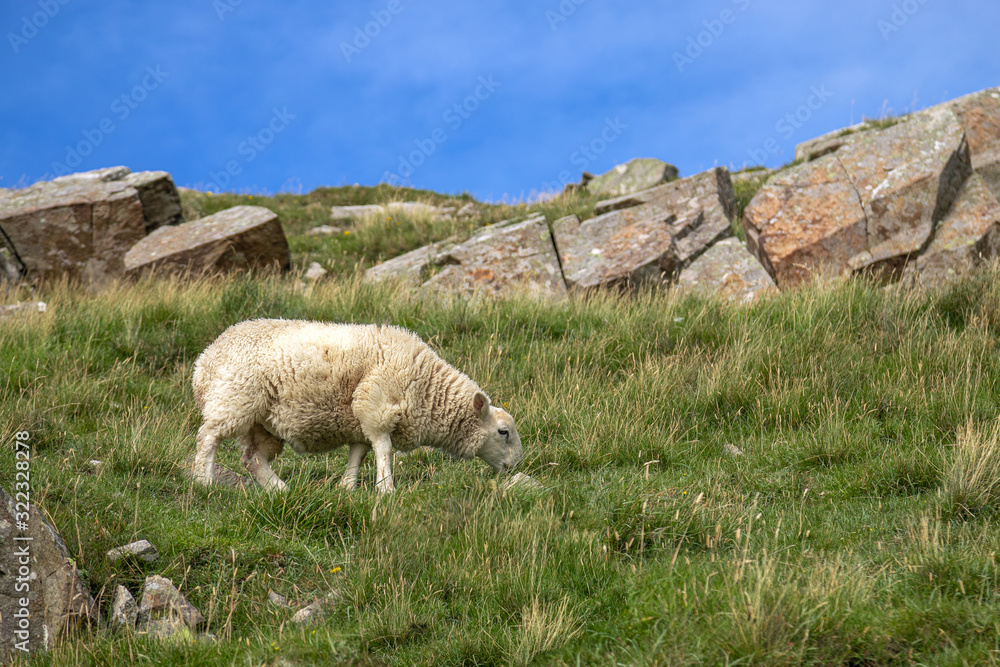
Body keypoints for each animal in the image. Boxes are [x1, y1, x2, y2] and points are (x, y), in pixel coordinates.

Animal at [191, 319, 522, 493]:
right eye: (503, 432)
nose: (516, 464)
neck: (427, 386)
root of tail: (205, 360)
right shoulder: (375, 407)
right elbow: (384, 450)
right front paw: (386, 489)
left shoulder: (360, 421)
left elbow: (358, 453)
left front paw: (347, 487)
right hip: (234, 399)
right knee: (208, 438)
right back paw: (203, 481)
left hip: (261, 422)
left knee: (253, 458)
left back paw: (280, 490)